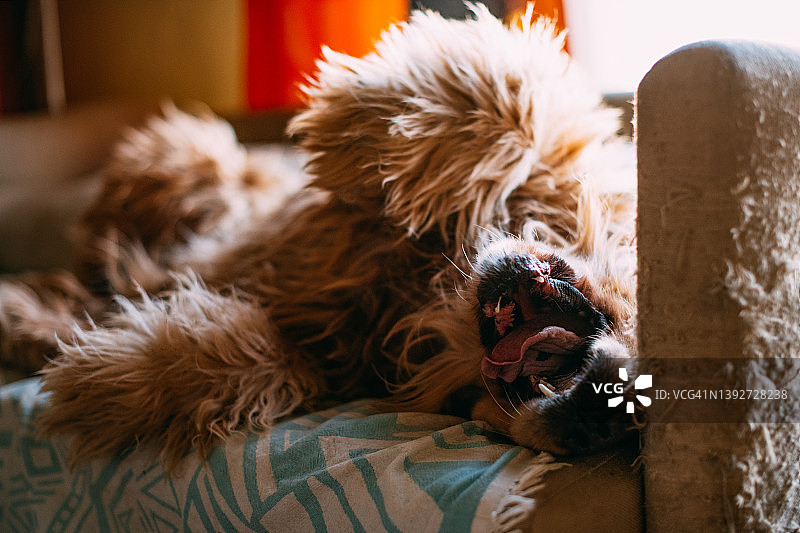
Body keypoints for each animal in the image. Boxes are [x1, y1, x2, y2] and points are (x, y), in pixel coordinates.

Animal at [0, 6, 636, 468]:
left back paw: (29, 319)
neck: (434, 301)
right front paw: (361, 130)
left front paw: (116, 376)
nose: (614, 420)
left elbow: (270, 362)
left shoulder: (332, 364)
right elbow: (511, 114)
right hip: (190, 149)